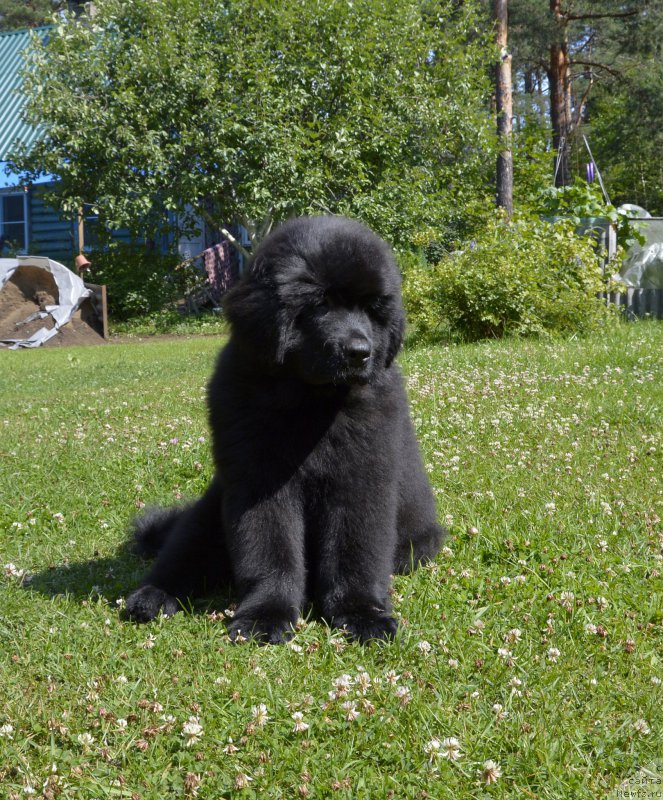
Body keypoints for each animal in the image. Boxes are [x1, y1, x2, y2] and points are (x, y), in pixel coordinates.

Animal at [126, 216, 446, 640]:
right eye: (320, 303)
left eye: (372, 309)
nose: (360, 353)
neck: (310, 403)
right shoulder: (258, 481)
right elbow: (269, 551)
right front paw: (266, 614)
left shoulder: (360, 480)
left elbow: (355, 552)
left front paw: (361, 613)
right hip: (209, 509)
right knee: (180, 553)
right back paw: (151, 596)